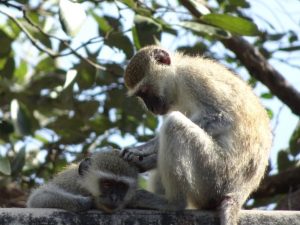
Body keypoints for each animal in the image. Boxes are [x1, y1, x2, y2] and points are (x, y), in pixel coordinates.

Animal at [26, 149, 169, 213]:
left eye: (121, 187)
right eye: (107, 184)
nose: (114, 198)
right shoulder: (71, 183)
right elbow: (39, 197)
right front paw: (88, 202)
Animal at [122, 46, 272, 225]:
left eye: (145, 91)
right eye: (140, 95)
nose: (151, 108)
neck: (177, 78)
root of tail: (240, 192)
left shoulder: (193, 78)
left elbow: (220, 117)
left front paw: (143, 149)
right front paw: (144, 160)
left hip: (215, 174)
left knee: (174, 125)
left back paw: (172, 203)